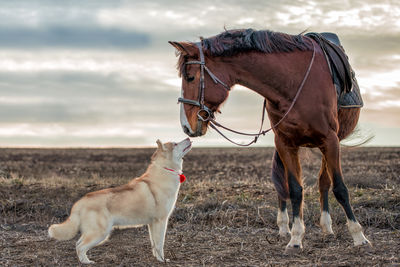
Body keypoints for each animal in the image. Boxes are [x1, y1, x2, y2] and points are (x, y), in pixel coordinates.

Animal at [48, 139, 192, 264]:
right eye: (175, 143)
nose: (189, 138)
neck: (165, 170)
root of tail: (80, 202)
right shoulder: (161, 221)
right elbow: (160, 244)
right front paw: (162, 260)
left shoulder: (152, 223)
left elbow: (154, 245)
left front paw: (157, 258)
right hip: (100, 233)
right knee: (80, 246)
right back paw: (87, 262)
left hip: (93, 232)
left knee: (77, 244)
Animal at [167, 28, 370, 253]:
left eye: (190, 77)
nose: (186, 126)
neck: (295, 82)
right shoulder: (285, 143)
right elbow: (295, 189)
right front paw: (296, 237)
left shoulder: (330, 141)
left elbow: (340, 189)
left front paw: (359, 236)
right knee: (285, 184)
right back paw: (285, 227)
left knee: (323, 181)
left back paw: (327, 226)